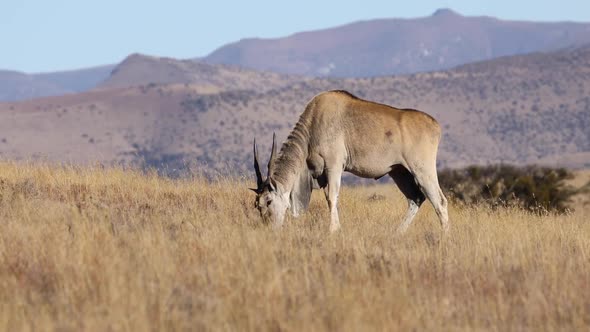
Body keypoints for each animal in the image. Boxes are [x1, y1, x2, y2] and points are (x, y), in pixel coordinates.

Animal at [252, 89, 450, 232]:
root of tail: (435, 124)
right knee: (416, 198)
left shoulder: (334, 166)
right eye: (257, 205)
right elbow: (329, 197)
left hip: (422, 171)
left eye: (269, 201)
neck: (314, 124)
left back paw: (444, 238)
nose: (269, 229)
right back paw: (397, 234)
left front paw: (333, 230)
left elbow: (332, 197)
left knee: (439, 201)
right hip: (399, 172)